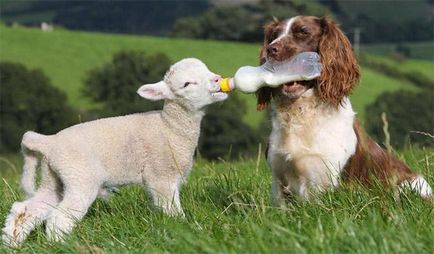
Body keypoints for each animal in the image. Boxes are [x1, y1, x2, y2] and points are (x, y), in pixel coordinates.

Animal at [2, 57, 227, 246]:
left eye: (207, 69)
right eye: (187, 84)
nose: (217, 79)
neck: (169, 127)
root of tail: (49, 142)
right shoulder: (161, 176)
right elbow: (171, 210)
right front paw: (185, 231)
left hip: (53, 178)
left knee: (25, 210)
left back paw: (11, 244)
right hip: (80, 177)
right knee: (59, 217)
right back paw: (61, 245)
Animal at [256, 15, 432, 202]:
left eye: (303, 32)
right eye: (274, 35)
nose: (271, 50)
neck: (301, 112)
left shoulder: (328, 181)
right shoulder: (279, 180)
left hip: (409, 185)